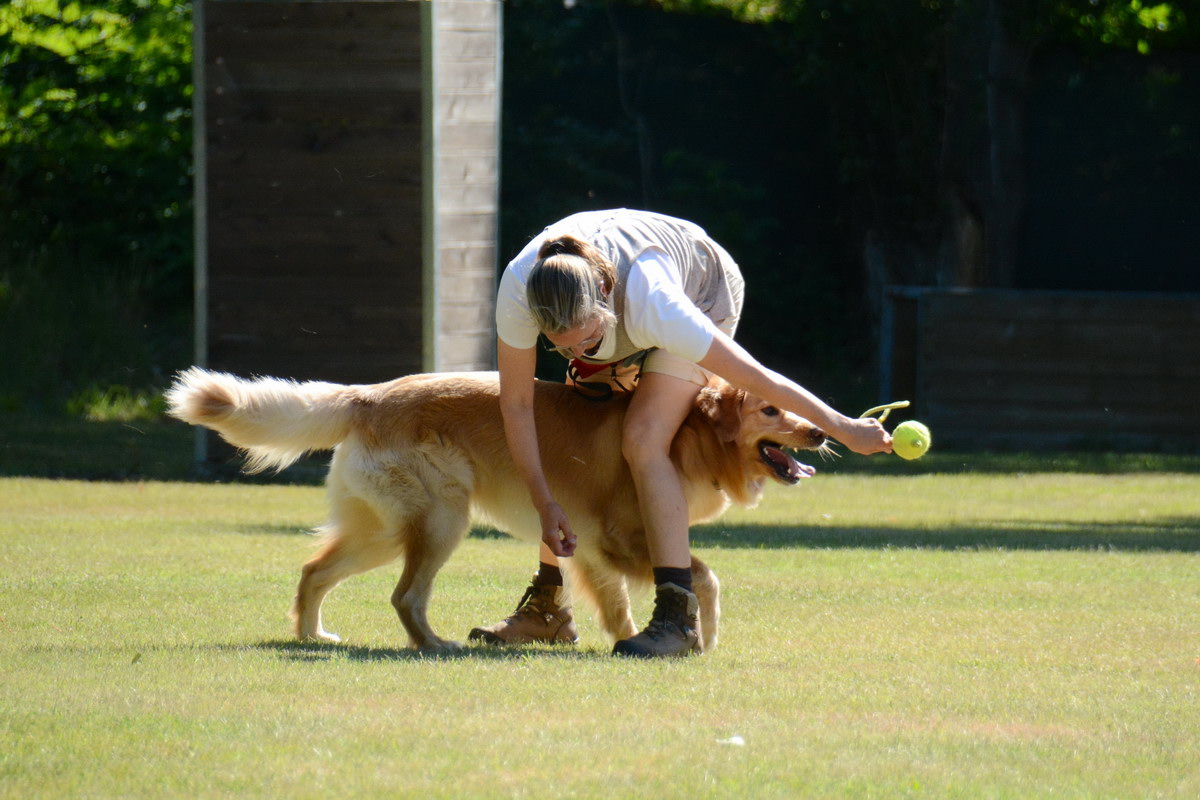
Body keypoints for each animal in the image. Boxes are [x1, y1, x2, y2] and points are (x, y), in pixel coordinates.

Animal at [166, 371, 825, 652]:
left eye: (791, 405)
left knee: (313, 572)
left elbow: (616, 605)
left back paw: (313, 635)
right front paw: (701, 638)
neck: (690, 431)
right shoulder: (621, 536)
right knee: (405, 596)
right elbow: (702, 577)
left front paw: (631, 640)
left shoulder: (587, 544)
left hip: (382, 531)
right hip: (441, 520)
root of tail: (366, 396)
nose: (819, 431)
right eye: (770, 410)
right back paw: (435, 644)